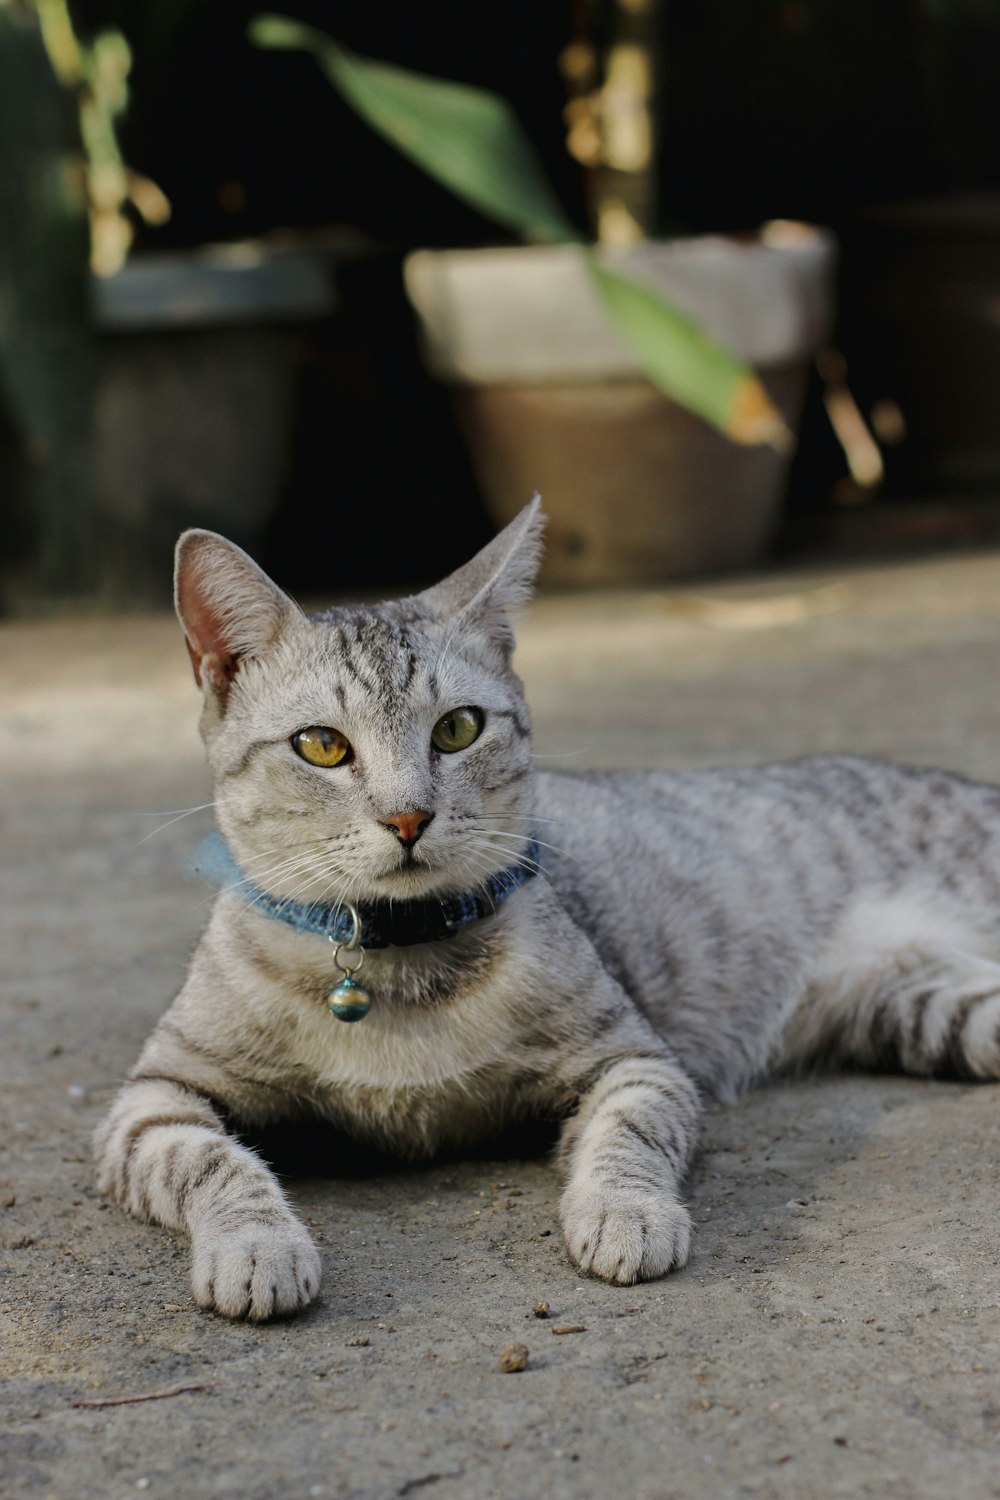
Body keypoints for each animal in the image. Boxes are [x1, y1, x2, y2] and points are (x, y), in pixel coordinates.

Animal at [95, 498, 1000, 1320]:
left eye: (458, 729)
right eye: (321, 745)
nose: (408, 817)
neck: (399, 967)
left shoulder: (636, 1059)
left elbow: (628, 1134)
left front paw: (625, 1213)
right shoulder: (153, 1099)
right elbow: (212, 1162)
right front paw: (257, 1246)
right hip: (933, 1013)